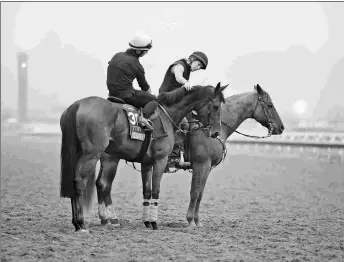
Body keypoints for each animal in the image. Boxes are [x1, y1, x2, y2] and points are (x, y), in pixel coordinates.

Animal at [59, 82, 228, 231]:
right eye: (215, 106)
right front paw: (154, 222)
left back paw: (84, 222)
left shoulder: (147, 163)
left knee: (91, 183)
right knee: (82, 182)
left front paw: (147, 221)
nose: (216, 132)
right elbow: (157, 190)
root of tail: (78, 105)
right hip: (93, 155)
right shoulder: (162, 160)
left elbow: (147, 190)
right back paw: (82, 223)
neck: (166, 115)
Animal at [179, 84, 284, 227]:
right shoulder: (201, 165)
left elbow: (200, 194)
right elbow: (195, 192)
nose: (281, 127)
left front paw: (197, 221)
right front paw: (190, 220)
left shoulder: (207, 168)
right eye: (270, 105)